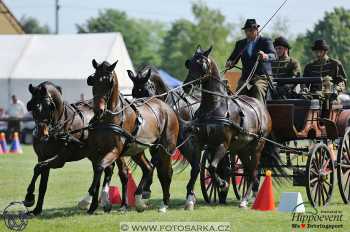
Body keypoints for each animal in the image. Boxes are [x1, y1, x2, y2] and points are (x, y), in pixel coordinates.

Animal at [23, 82, 139, 215]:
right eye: (32, 106)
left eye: (49, 106)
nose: (42, 134)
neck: (59, 126)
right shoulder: (42, 157)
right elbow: (42, 181)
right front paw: (36, 208)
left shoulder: (60, 160)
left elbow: (39, 168)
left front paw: (29, 197)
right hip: (95, 154)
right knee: (101, 173)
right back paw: (94, 205)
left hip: (116, 151)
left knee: (122, 173)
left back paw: (122, 204)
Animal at [86, 59, 179, 214]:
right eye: (93, 81)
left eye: (109, 83)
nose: (99, 110)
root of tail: (166, 107)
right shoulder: (101, 152)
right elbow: (103, 171)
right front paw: (94, 204)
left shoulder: (115, 151)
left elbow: (99, 168)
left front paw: (89, 197)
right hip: (137, 150)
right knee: (148, 168)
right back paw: (140, 198)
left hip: (165, 149)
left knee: (165, 173)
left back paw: (163, 203)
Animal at [127, 65, 202, 210]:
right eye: (134, 93)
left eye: (146, 91)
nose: (141, 115)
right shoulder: (155, 145)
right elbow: (156, 166)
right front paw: (146, 190)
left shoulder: (169, 145)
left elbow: (156, 164)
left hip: (189, 145)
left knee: (196, 166)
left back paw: (190, 198)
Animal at [183, 46, 284, 208]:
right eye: (189, 63)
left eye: (201, 65)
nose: (187, 86)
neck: (214, 107)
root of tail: (263, 108)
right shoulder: (200, 143)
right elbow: (196, 168)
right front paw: (190, 199)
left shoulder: (222, 144)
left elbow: (212, 167)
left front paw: (223, 184)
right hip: (242, 148)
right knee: (248, 171)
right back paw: (248, 196)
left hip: (257, 146)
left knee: (253, 171)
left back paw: (245, 199)